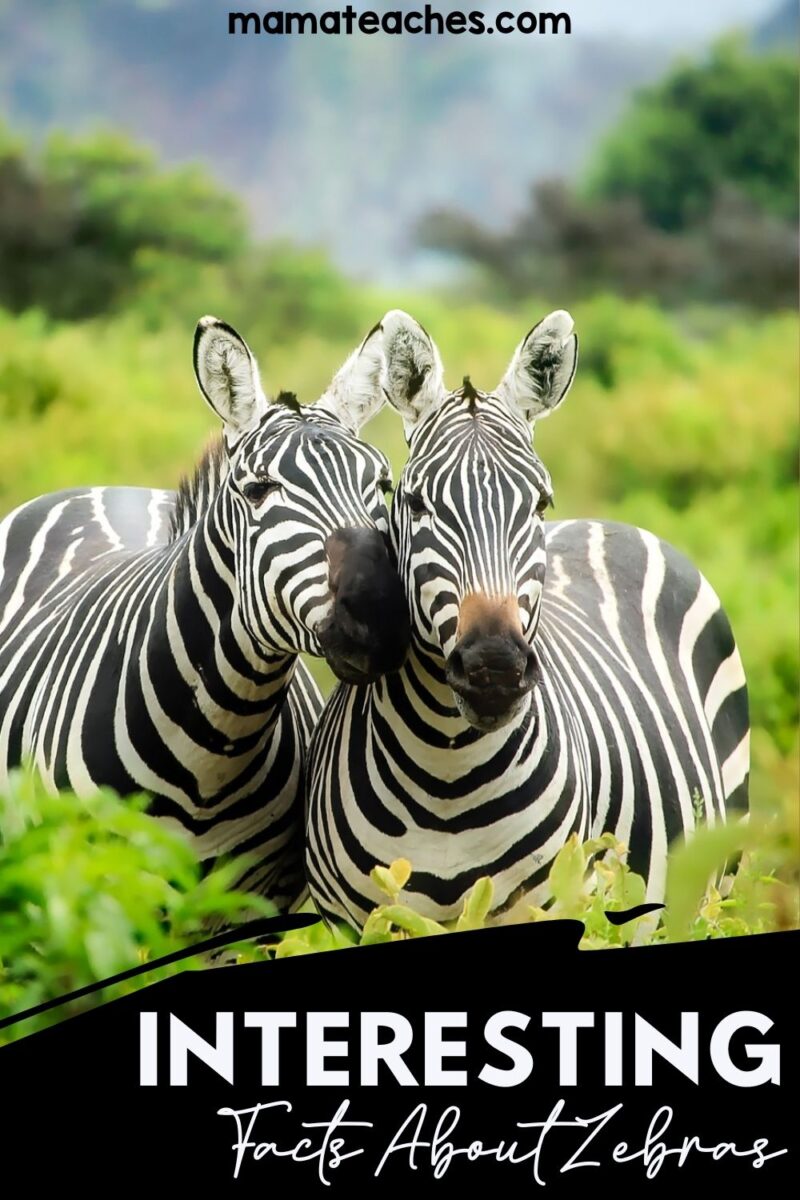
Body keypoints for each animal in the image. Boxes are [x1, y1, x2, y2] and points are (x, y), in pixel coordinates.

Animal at [306, 309, 750, 928]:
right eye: (414, 503)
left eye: (540, 503)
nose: (493, 669)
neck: (447, 775)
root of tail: (608, 523)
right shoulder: (357, 920)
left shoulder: (550, 900)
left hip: (716, 882)